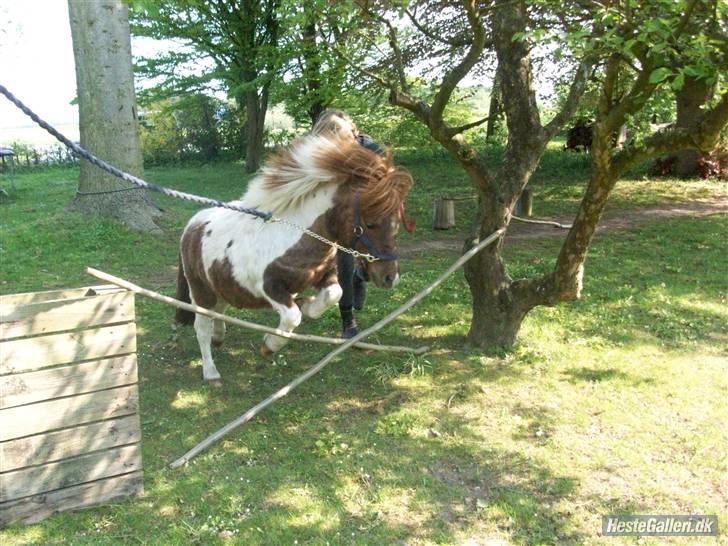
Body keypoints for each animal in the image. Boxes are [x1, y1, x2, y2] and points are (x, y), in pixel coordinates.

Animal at [176, 132, 412, 378]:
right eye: (371, 223)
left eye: (398, 221)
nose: (390, 278)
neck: (293, 236)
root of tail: (193, 224)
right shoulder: (269, 287)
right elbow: (292, 316)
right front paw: (270, 345)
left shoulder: (324, 275)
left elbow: (333, 294)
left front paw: (306, 303)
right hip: (200, 291)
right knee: (202, 326)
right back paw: (211, 372)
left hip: (221, 287)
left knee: (219, 312)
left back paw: (219, 338)